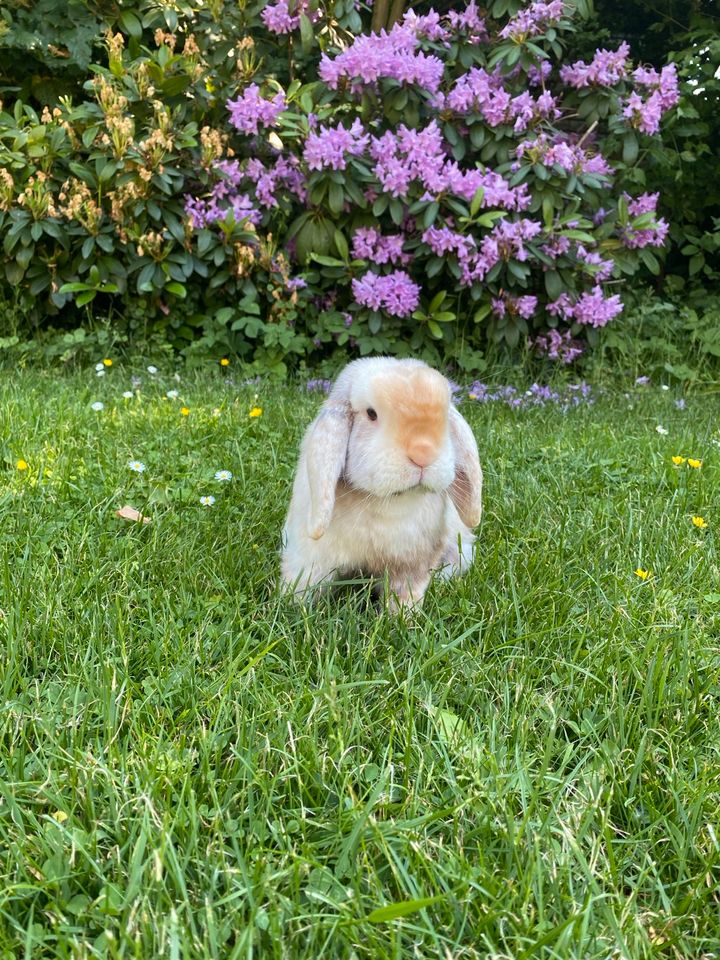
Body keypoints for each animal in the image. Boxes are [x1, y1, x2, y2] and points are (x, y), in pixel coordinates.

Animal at [278, 356, 480, 612]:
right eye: (371, 413)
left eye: (444, 415)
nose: (423, 453)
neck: (382, 501)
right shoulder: (310, 556)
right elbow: (303, 584)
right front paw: (289, 607)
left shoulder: (412, 565)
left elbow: (405, 594)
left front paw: (405, 616)